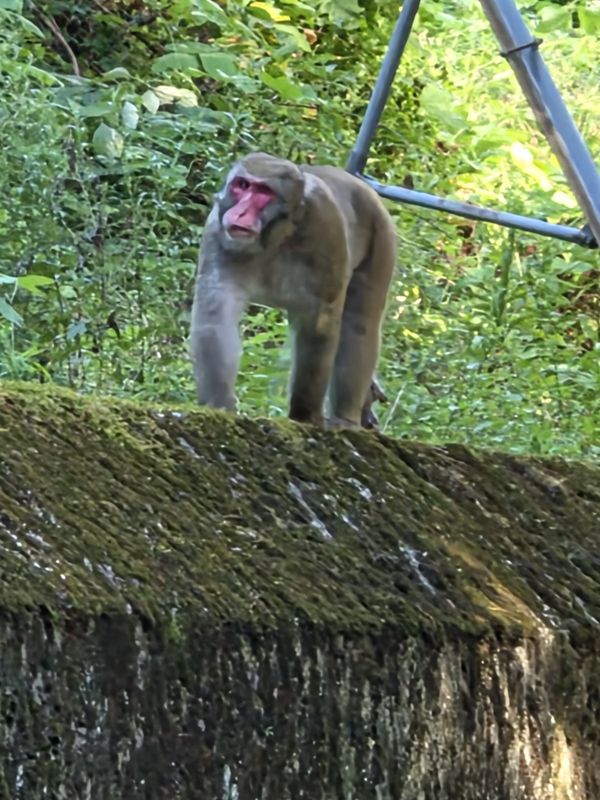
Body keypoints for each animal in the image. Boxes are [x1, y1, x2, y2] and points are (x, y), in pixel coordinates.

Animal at [190, 152, 396, 428]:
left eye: (263, 192)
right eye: (242, 185)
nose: (239, 211)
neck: (275, 237)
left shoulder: (325, 222)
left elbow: (319, 320)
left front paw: (305, 415)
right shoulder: (217, 229)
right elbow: (216, 312)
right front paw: (220, 406)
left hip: (381, 234)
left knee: (360, 323)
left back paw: (346, 417)